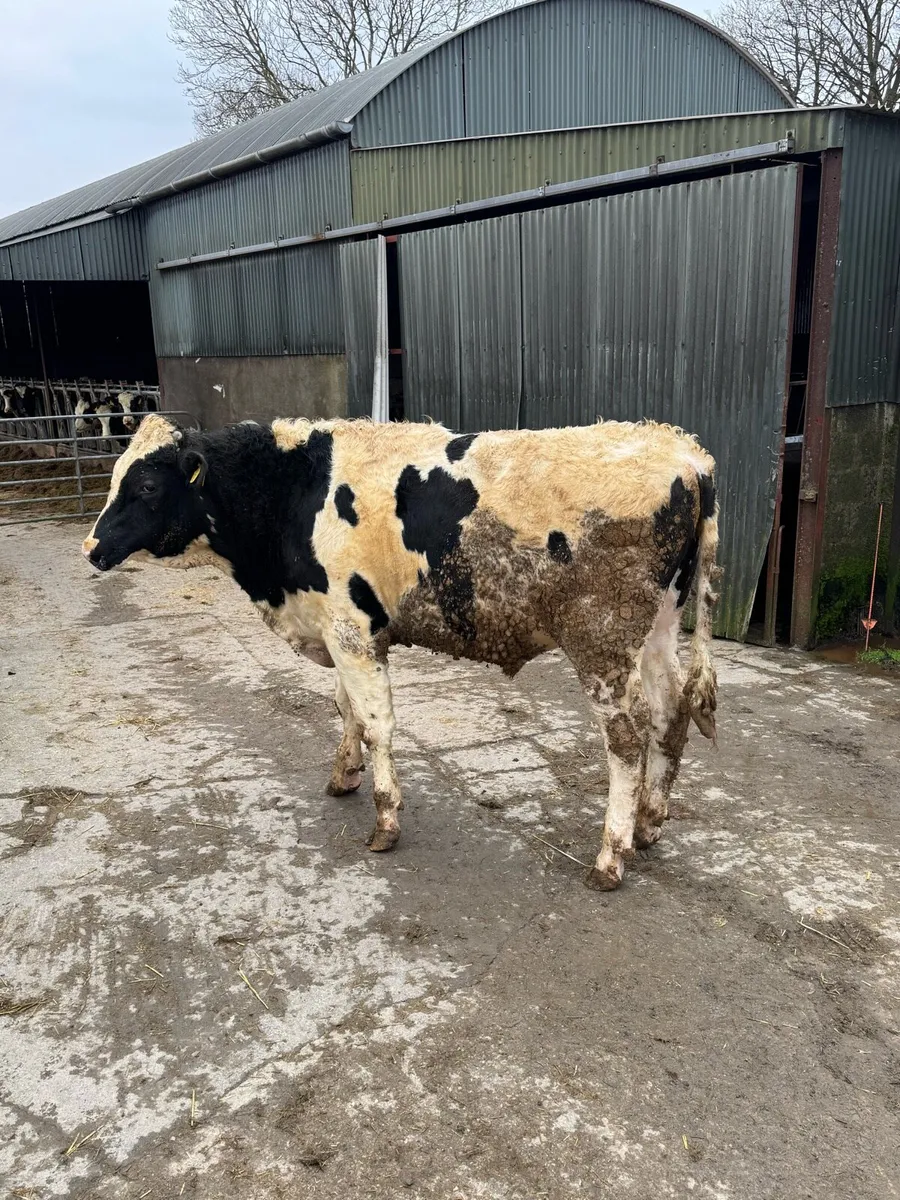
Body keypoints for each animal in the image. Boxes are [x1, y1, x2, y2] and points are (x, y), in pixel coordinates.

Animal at [81, 413, 719, 890]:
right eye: (114, 476)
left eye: (146, 486)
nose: (90, 547)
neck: (292, 490)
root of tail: (685, 453)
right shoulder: (336, 627)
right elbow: (347, 711)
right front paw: (344, 774)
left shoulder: (352, 630)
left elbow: (377, 723)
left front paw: (385, 818)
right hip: (660, 626)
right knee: (670, 715)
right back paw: (649, 825)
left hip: (602, 641)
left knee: (627, 741)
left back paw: (611, 856)